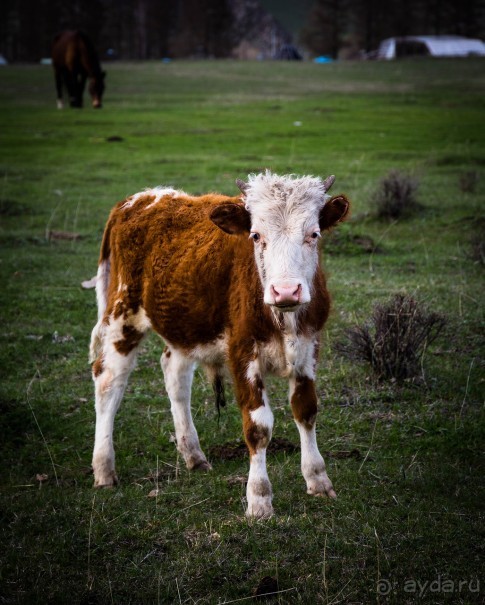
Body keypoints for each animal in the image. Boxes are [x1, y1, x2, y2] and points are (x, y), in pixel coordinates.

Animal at [90, 172, 348, 516]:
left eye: (314, 234)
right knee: (108, 381)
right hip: (123, 313)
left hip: (185, 326)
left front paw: (318, 480)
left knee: (175, 376)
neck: (283, 320)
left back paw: (194, 456)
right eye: (255, 235)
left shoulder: (309, 348)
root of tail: (140, 198)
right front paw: (259, 499)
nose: (285, 291)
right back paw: (104, 469)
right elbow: (258, 427)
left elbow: (306, 411)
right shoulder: (242, 353)